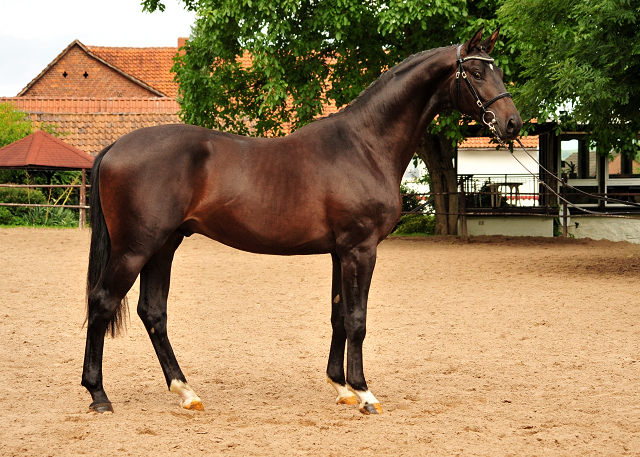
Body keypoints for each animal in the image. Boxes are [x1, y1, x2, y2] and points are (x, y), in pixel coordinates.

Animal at [81, 28, 520, 414]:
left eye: (499, 70)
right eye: (476, 73)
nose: (512, 123)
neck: (364, 145)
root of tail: (116, 146)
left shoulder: (340, 252)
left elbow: (339, 316)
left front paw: (341, 387)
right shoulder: (361, 249)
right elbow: (357, 320)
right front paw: (364, 394)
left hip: (164, 245)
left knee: (153, 312)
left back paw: (186, 392)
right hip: (135, 249)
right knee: (102, 302)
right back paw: (99, 395)